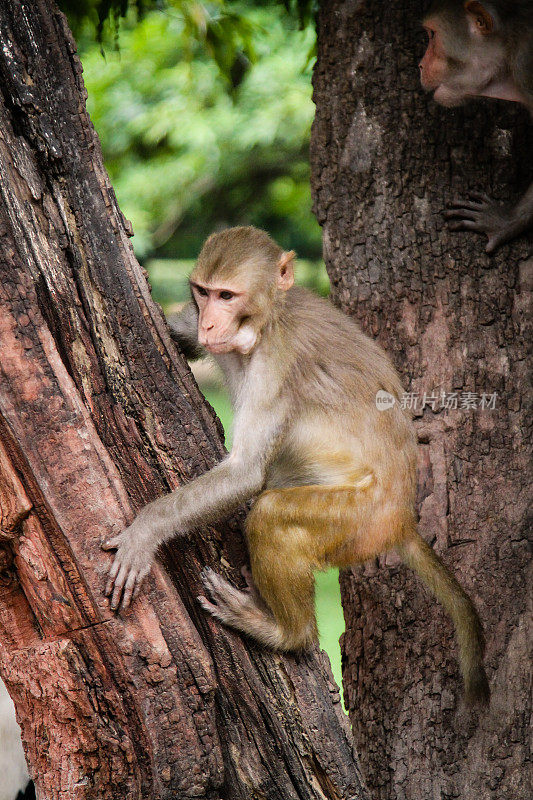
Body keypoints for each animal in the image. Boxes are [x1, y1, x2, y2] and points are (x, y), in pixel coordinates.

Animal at [103, 225, 490, 708]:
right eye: (203, 292)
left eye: (227, 296)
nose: (209, 321)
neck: (266, 321)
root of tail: (403, 517)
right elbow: (181, 337)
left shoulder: (277, 361)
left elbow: (246, 472)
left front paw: (145, 531)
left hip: (360, 522)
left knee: (272, 516)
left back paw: (287, 634)